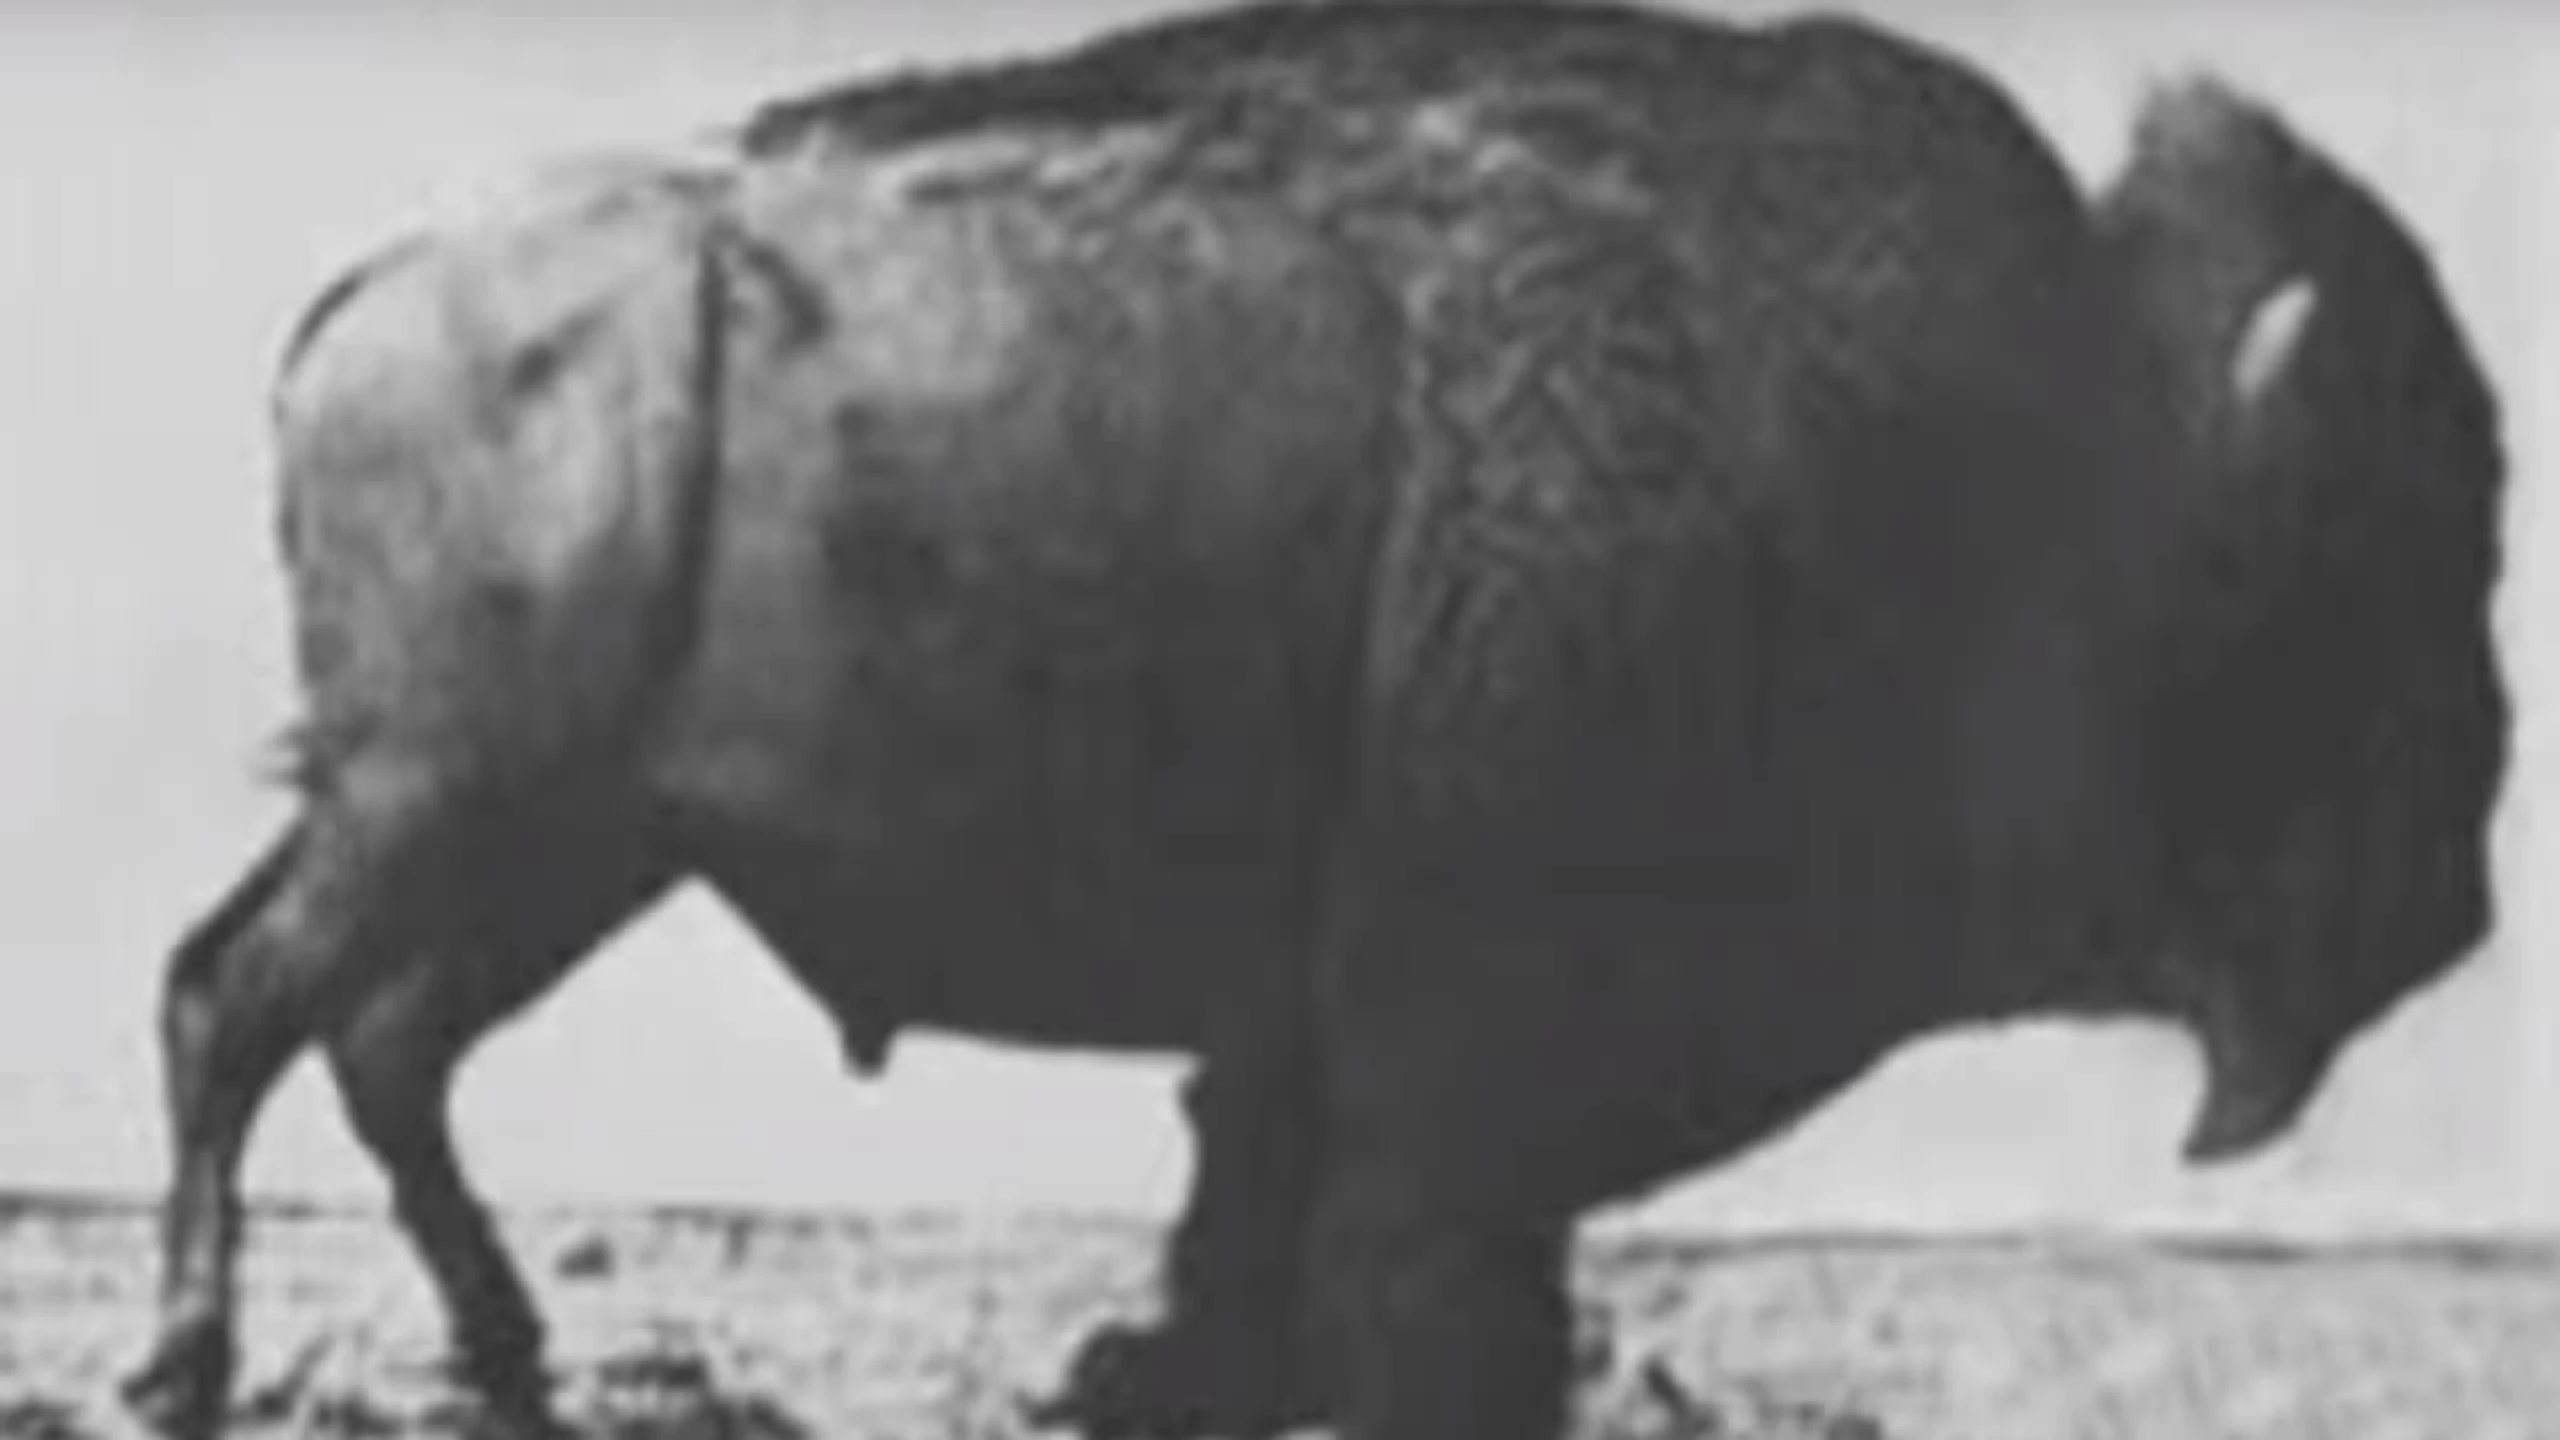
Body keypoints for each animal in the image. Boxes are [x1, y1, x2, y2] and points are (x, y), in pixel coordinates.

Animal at [120, 4, 2507, 1440]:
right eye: (2351, 570)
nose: (2462, 898)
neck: (2044, 436)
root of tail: (376, 292)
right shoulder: (1457, 1074)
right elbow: (1408, 1282)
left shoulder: (1310, 1056)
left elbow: (1241, 1217)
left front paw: (1136, 1367)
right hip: (443, 805)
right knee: (237, 998)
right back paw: (189, 1365)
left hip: (569, 847)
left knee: (379, 1042)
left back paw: (506, 1362)